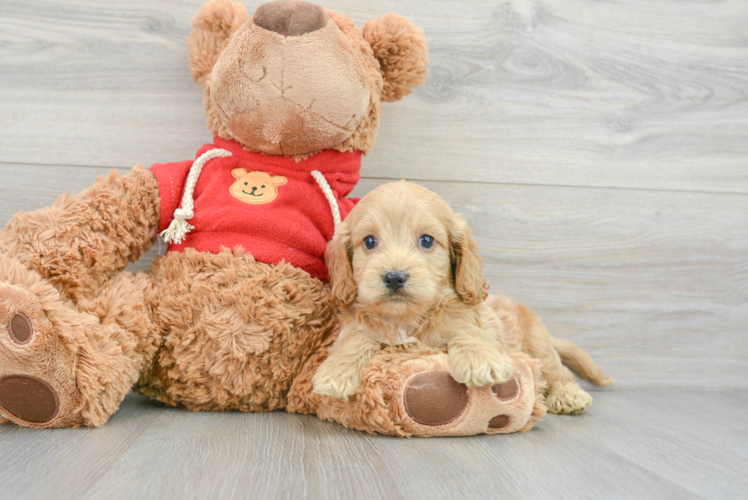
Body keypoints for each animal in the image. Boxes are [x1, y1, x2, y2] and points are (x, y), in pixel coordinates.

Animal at [312, 181, 612, 414]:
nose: (394, 277)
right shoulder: (354, 326)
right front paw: (335, 372)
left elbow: (467, 331)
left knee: (558, 372)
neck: (408, 319)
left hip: (539, 345)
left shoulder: (480, 324)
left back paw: (568, 395)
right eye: (369, 242)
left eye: (426, 240)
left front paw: (480, 361)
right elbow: (357, 339)